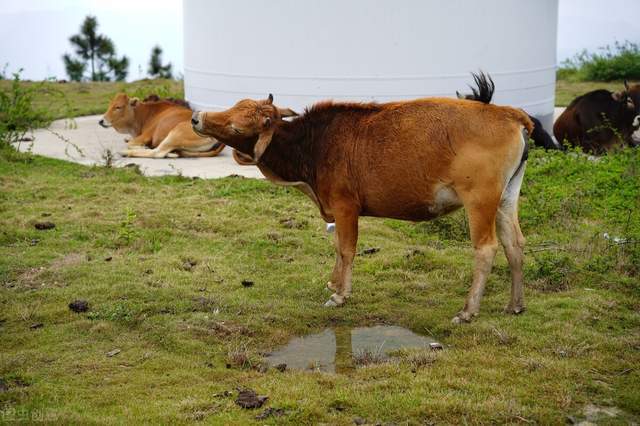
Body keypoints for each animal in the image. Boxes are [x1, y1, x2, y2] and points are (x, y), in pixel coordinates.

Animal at [192, 95, 532, 322]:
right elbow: (337, 247)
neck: (314, 143)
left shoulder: (345, 207)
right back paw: (515, 304)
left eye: (237, 127)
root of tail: (508, 113)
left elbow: (345, 248)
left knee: (486, 248)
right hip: (505, 198)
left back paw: (468, 310)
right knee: (514, 243)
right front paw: (333, 281)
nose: (196, 117)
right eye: (235, 106)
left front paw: (340, 294)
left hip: (479, 200)